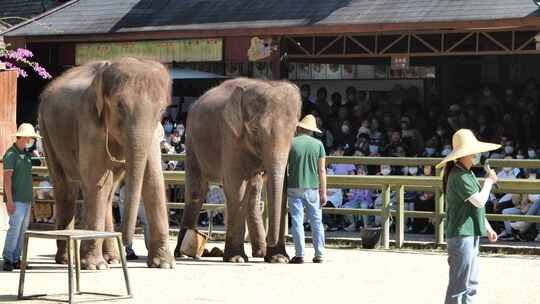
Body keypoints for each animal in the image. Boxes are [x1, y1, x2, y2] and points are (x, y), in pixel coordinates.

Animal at [175, 77, 304, 262]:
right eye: (255, 130)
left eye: (294, 131)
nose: (270, 242)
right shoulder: (230, 135)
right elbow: (236, 188)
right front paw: (236, 259)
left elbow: (282, 189)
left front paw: (278, 259)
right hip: (192, 142)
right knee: (196, 191)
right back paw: (181, 253)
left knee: (253, 193)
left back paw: (258, 253)